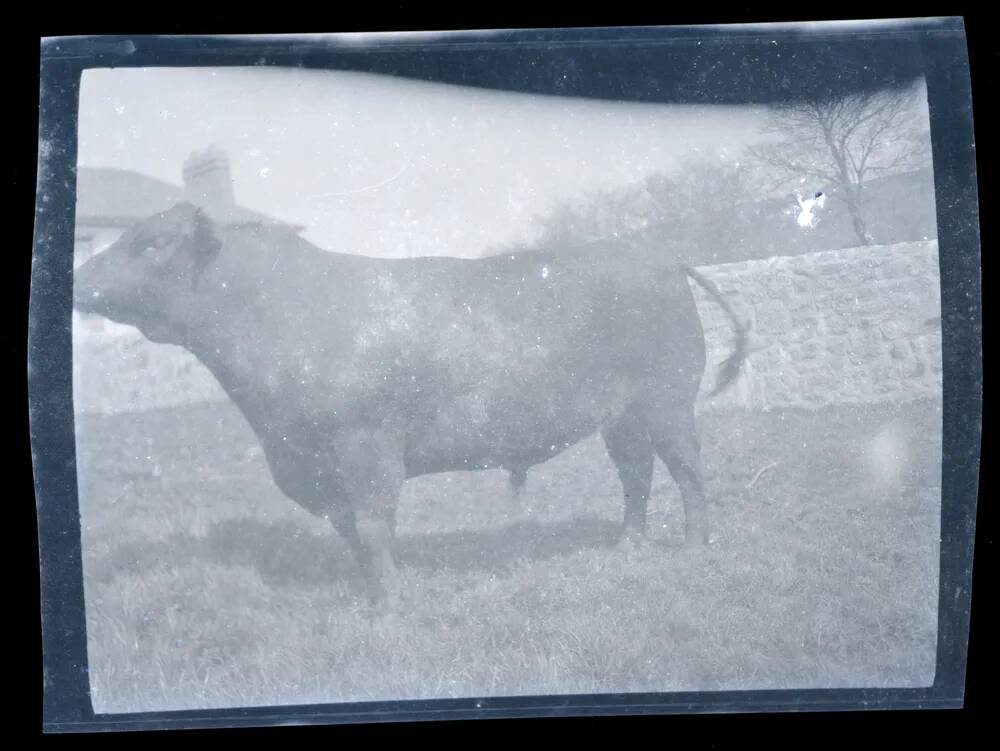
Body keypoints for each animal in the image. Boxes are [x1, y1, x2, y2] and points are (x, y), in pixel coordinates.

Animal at [74, 204, 748, 612]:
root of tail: (653, 254)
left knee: (687, 469)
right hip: (621, 416)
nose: (78, 280)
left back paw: (693, 547)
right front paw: (369, 592)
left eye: (154, 243)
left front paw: (390, 605)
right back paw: (626, 547)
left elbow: (373, 524)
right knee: (636, 473)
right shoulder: (313, 463)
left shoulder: (365, 444)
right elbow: (350, 530)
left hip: (667, 399)